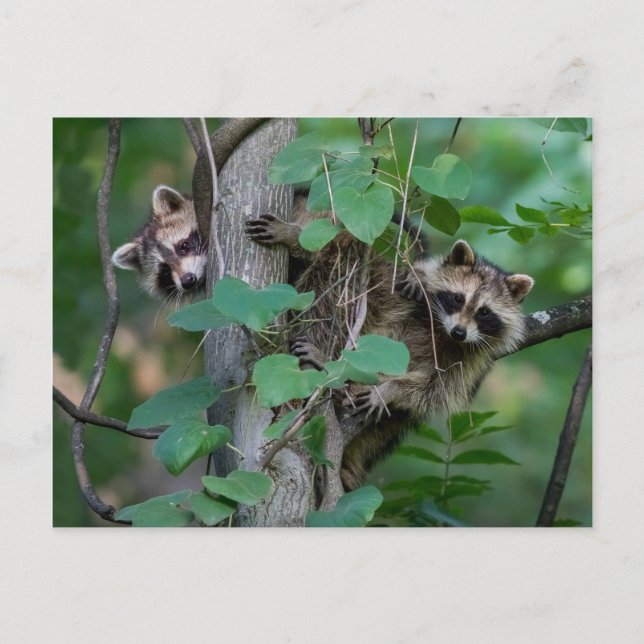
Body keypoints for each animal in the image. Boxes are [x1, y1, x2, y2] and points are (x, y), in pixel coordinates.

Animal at [246, 199, 534, 489]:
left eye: (484, 312)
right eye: (457, 298)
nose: (460, 332)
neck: (441, 329)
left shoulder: (472, 359)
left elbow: (432, 388)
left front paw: (389, 390)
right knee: (339, 268)